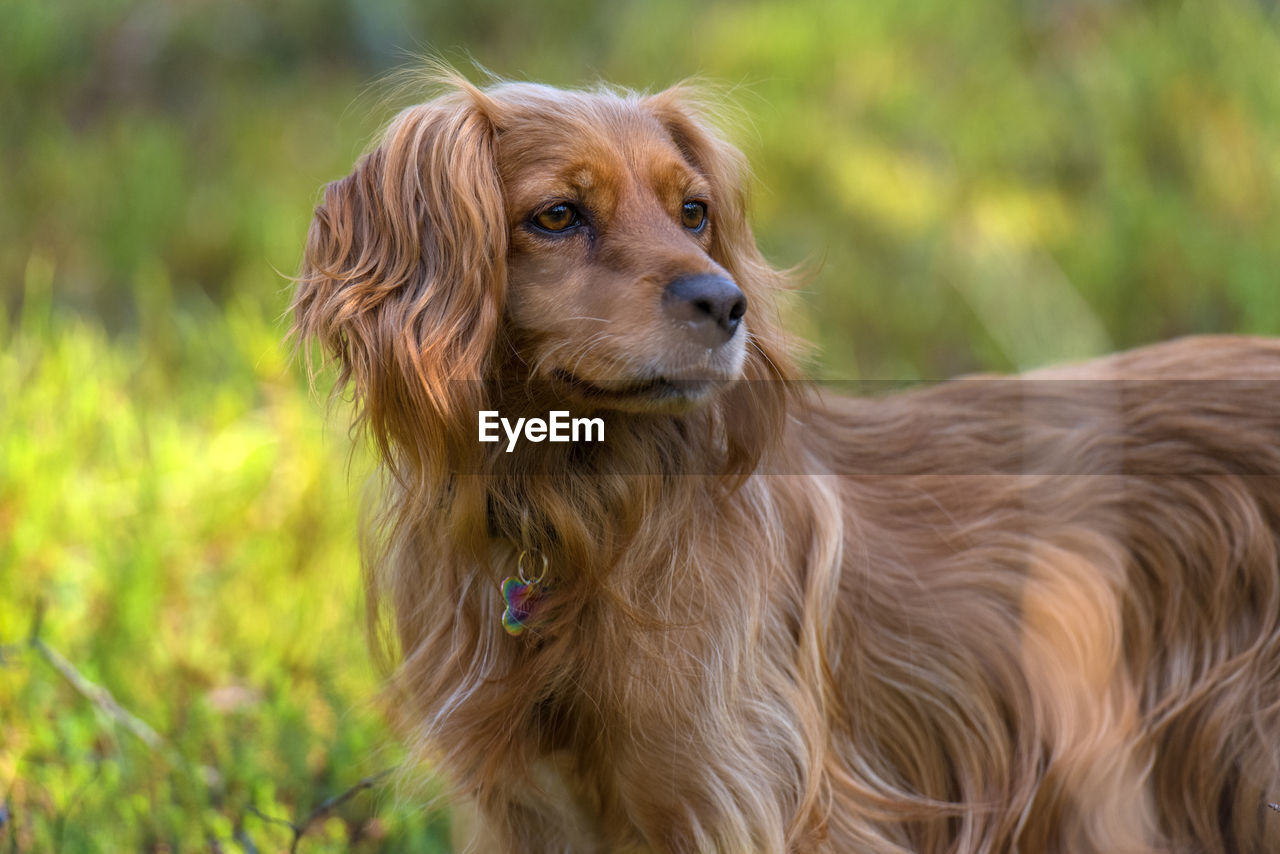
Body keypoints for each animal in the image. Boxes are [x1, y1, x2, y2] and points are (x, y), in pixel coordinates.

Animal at [294, 70, 1280, 850]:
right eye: (559, 216)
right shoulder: (537, 814)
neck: (576, 521)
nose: (725, 302)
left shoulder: (747, 798)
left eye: (693, 211)